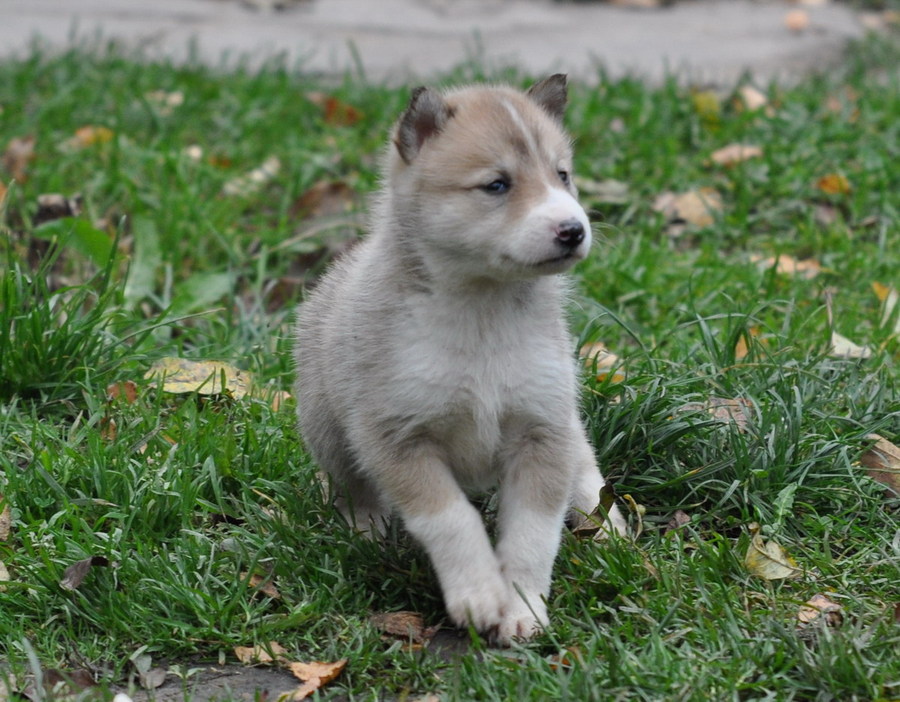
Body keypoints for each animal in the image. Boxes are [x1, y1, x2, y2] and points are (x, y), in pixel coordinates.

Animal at [296, 74, 624, 648]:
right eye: (496, 185)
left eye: (562, 175)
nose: (573, 229)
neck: (483, 313)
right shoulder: (397, 437)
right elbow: (451, 519)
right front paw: (478, 596)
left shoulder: (542, 426)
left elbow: (534, 531)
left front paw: (522, 606)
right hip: (328, 430)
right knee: (354, 488)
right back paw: (368, 532)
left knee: (584, 461)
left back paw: (605, 521)